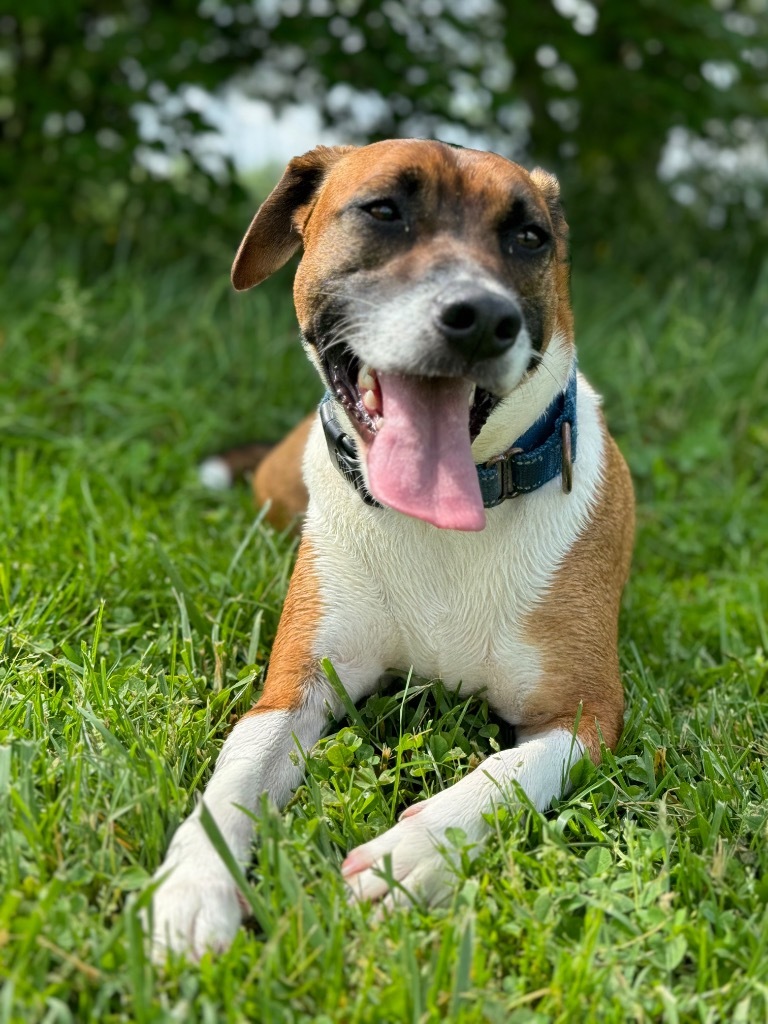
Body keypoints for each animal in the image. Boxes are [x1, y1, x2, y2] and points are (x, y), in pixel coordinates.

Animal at [147, 138, 634, 958]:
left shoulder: (587, 711)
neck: (442, 525)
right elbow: (234, 778)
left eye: (528, 237)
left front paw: (414, 853)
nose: (482, 319)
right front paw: (193, 884)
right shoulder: (295, 688)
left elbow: (508, 771)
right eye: (382, 210)